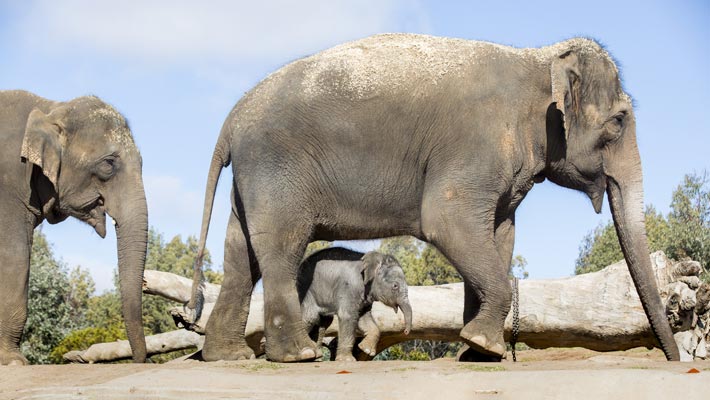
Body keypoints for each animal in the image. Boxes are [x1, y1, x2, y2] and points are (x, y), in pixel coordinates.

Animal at [0, 89, 147, 364]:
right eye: (109, 164)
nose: (139, 359)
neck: (50, 108)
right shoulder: (9, 187)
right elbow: (15, 255)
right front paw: (14, 361)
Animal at [192, 34, 680, 362]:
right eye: (619, 121)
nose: (675, 359)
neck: (538, 59)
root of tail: (232, 118)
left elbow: (500, 236)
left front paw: (480, 350)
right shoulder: (475, 145)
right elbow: (447, 220)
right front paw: (481, 342)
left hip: (251, 179)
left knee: (240, 255)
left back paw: (228, 355)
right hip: (276, 170)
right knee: (280, 247)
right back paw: (295, 355)